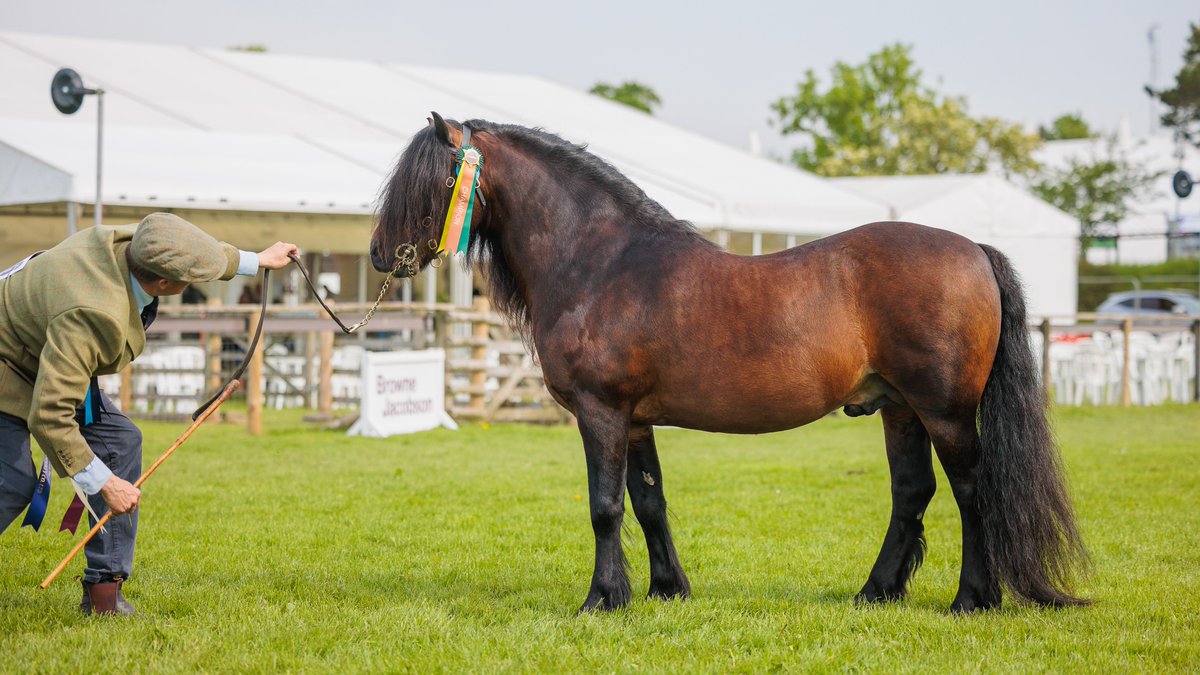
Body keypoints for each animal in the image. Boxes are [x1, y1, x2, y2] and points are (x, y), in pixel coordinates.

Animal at [369, 111, 1094, 610]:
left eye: (430, 181)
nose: (379, 254)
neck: (602, 261)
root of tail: (973, 248)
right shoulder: (635, 419)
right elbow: (648, 500)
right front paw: (665, 589)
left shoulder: (601, 412)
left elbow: (604, 505)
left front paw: (600, 599)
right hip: (900, 409)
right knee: (912, 492)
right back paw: (876, 591)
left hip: (944, 409)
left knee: (973, 492)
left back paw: (972, 598)